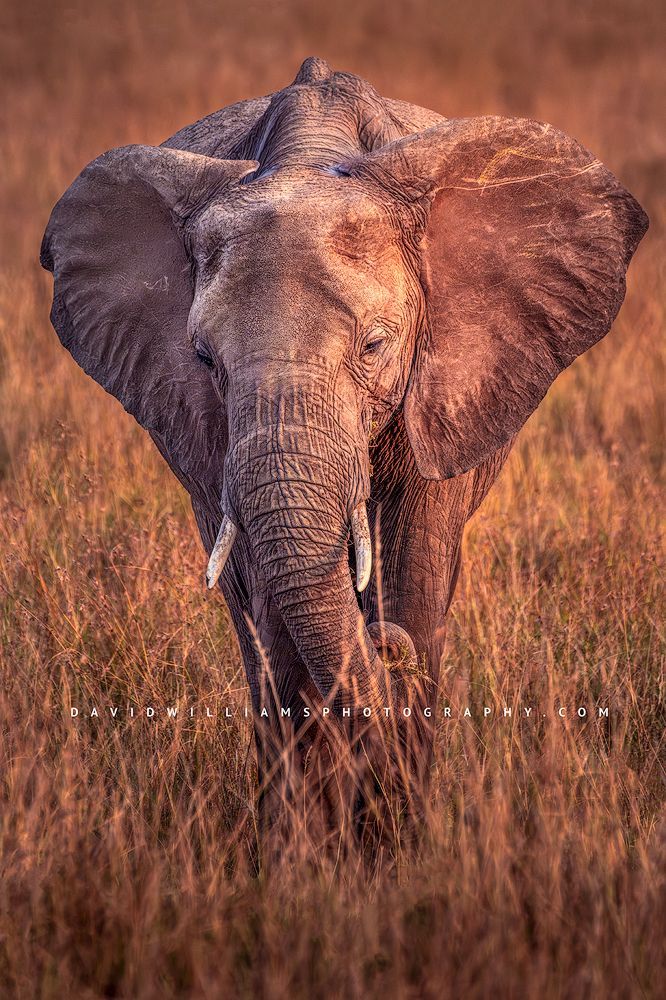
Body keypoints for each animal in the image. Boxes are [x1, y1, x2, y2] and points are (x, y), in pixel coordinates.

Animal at [41, 56, 647, 846]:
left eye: (375, 346)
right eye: (203, 359)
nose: (383, 647)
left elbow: (413, 575)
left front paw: (395, 841)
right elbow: (270, 606)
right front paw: (304, 854)